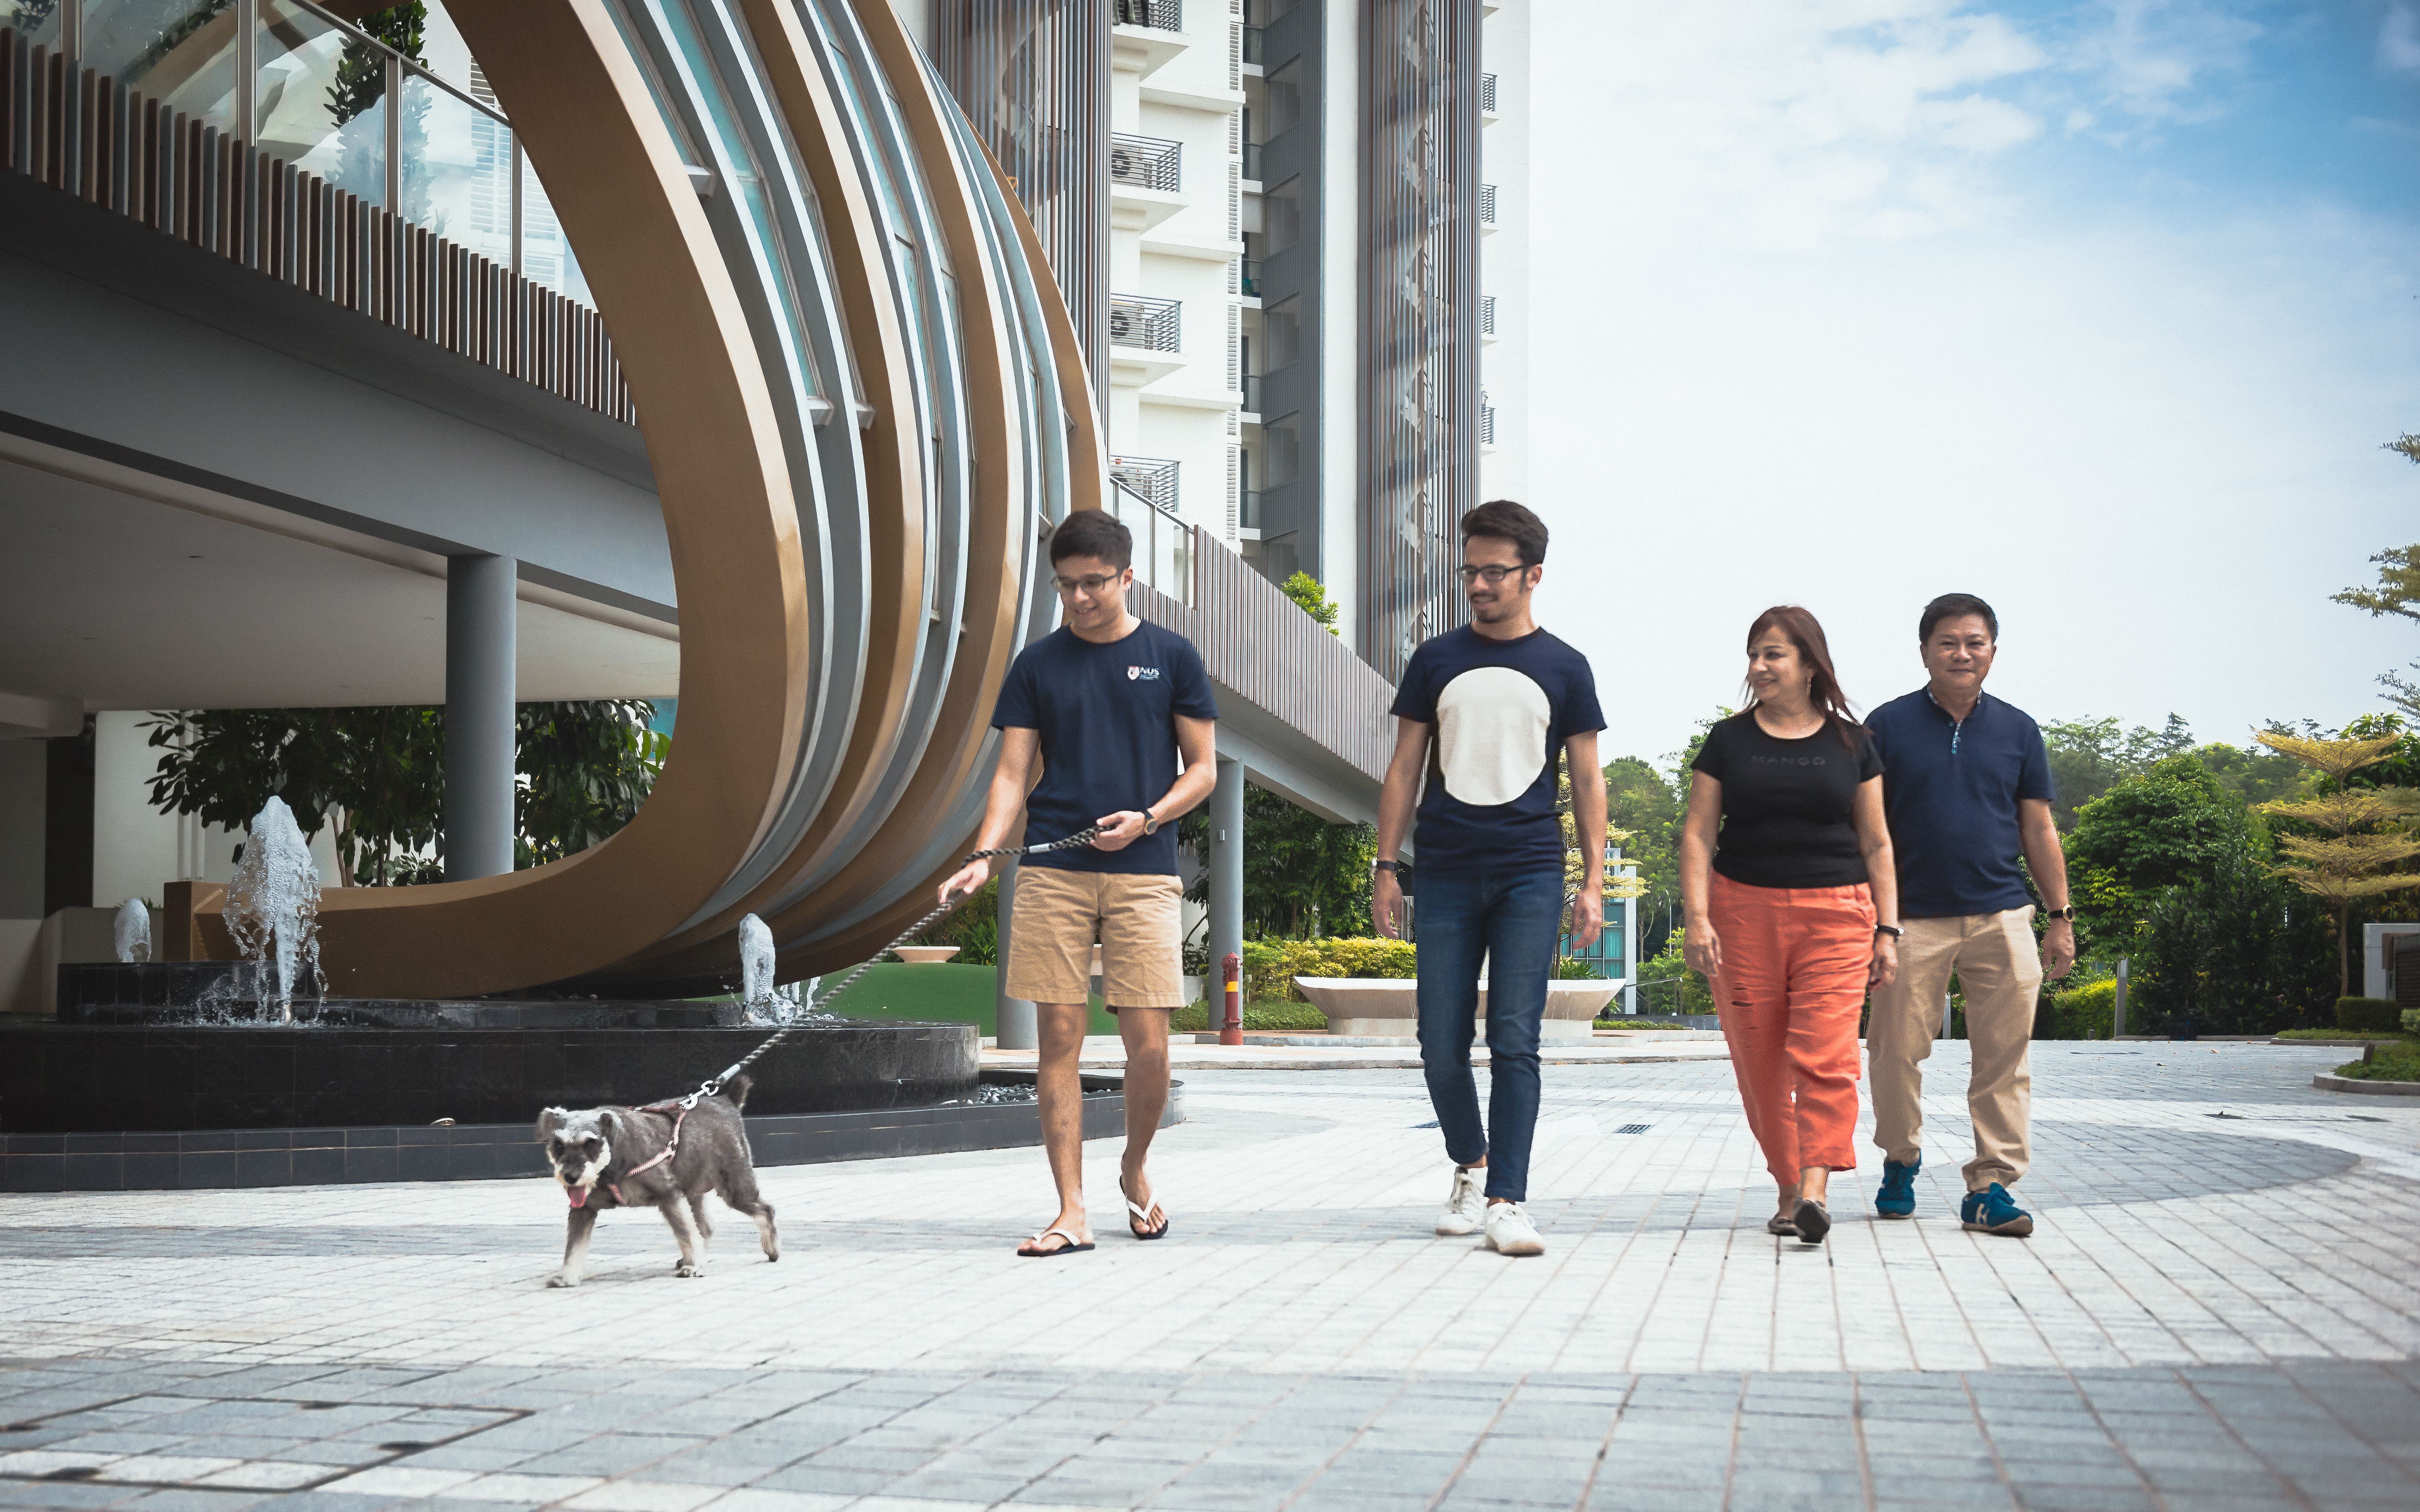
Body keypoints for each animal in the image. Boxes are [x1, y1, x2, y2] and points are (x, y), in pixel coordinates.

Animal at [535, 1074, 779, 1287]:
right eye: (558, 1145)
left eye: (590, 1143)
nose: (571, 1177)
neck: (613, 1159)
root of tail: (728, 1101)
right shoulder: (583, 1209)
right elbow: (574, 1245)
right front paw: (566, 1276)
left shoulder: (670, 1195)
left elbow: (685, 1231)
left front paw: (694, 1267)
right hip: (692, 1191)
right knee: (705, 1228)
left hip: (736, 1188)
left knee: (764, 1211)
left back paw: (771, 1251)